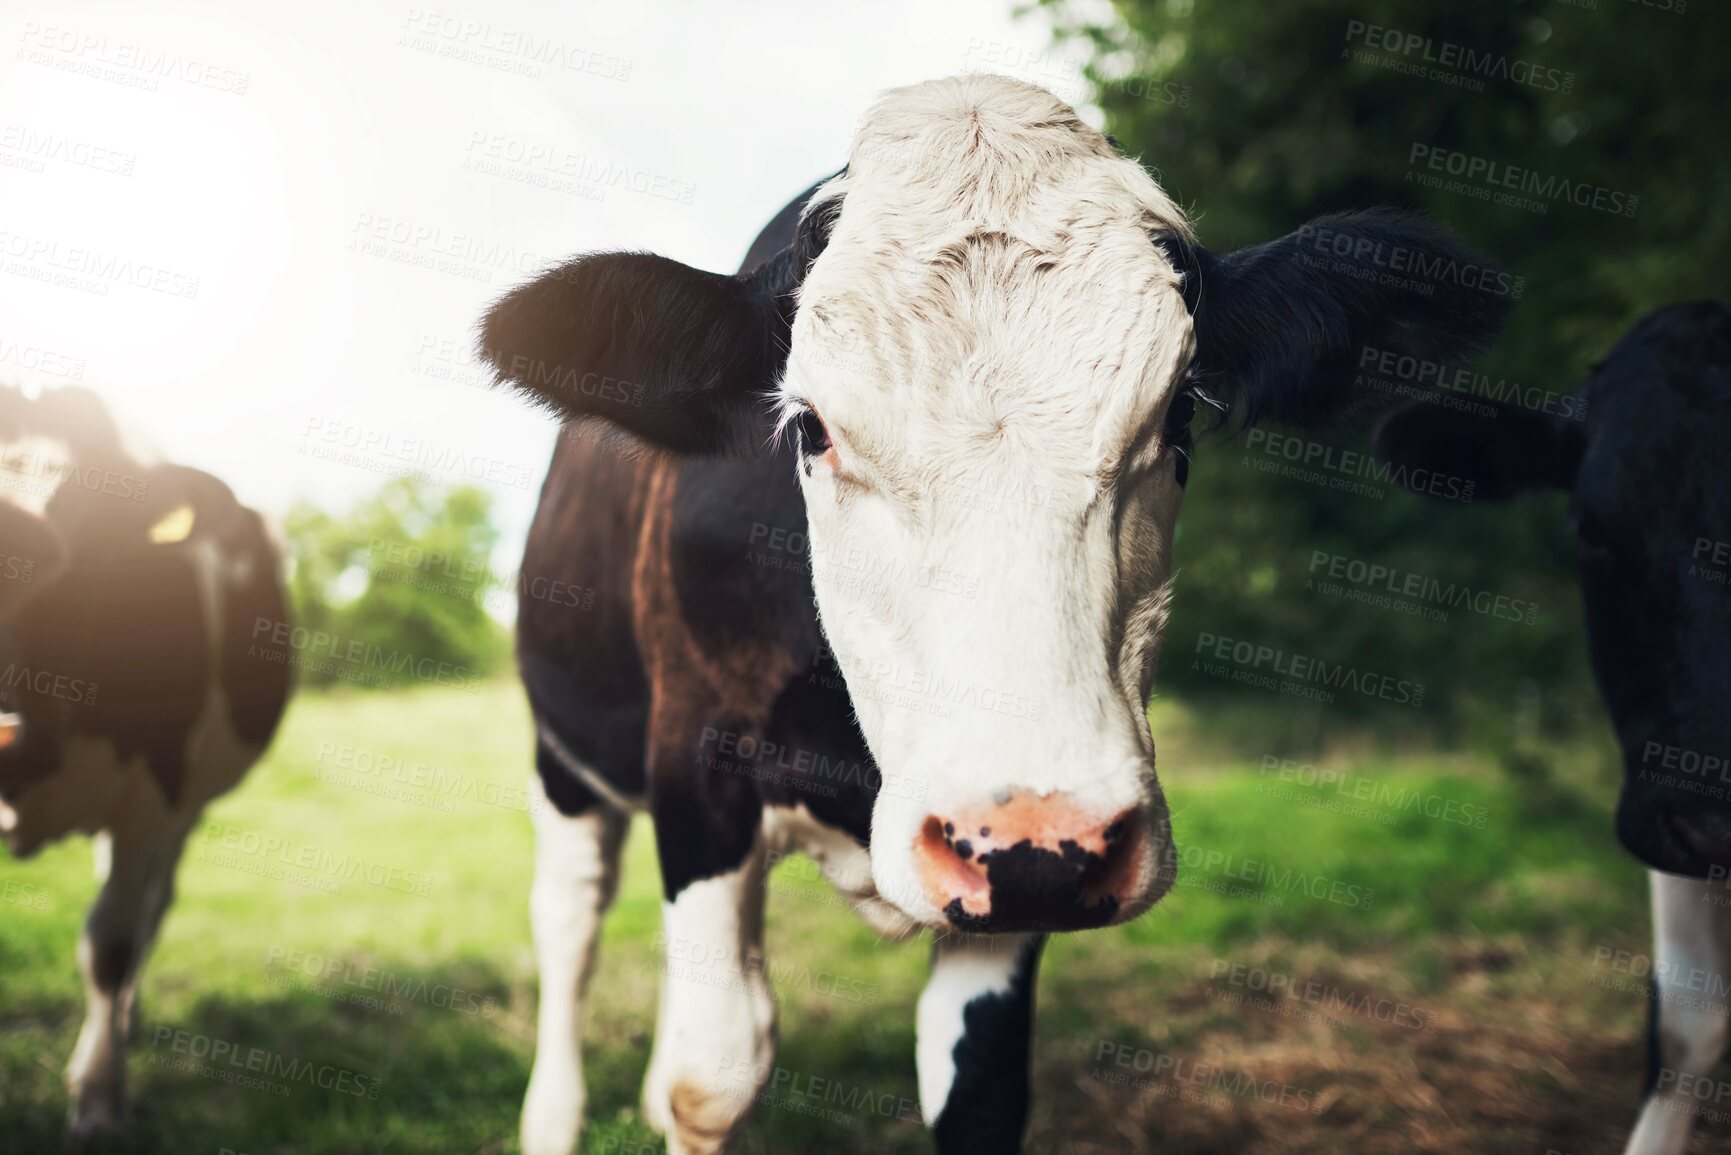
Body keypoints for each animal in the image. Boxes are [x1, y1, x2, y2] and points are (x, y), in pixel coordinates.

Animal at [0, 383, 293, 1143]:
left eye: (107, 527)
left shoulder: (152, 793)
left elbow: (110, 945)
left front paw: (99, 1101)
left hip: (186, 806)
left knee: (152, 909)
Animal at [480, 75, 1507, 1155]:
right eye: (810, 427)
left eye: (1179, 413)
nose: (1036, 832)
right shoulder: (697, 762)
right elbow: (711, 1077)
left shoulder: (1024, 865)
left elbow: (975, 1086)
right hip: (565, 755)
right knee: (570, 919)